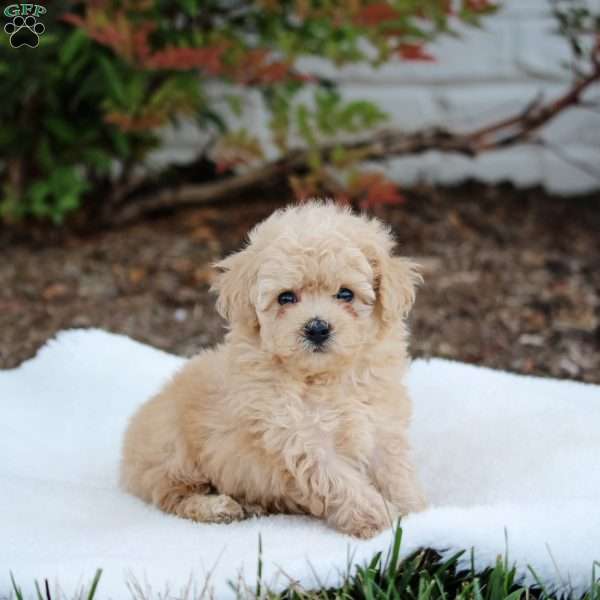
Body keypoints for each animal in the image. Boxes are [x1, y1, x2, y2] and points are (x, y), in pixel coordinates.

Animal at [119, 202, 424, 540]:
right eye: (286, 297)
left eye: (346, 294)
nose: (317, 328)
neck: (324, 378)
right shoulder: (297, 439)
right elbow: (340, 480)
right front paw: (379, 518)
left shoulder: (381, 423)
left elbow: (394, 470)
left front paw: (415, 511)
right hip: (172, 450)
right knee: (174, 496)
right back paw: (219, 507)